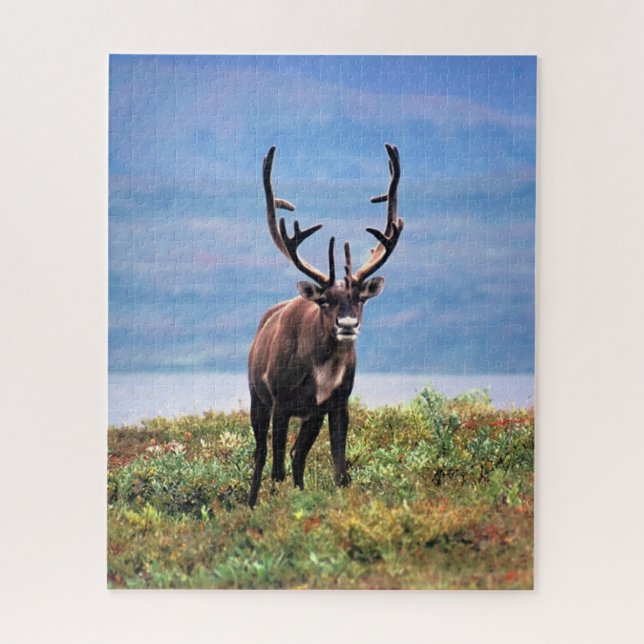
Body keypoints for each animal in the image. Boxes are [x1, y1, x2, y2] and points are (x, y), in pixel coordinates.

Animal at [247, 144, 404, 507]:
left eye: (360, 299)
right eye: (325, 301)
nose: (347, 323)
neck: (322, 368)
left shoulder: (337, 402)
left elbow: (340, 471)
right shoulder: (281, 402)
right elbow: (275, 469)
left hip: (311, 415)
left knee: (297, 455)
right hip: (257, 398)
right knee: (262, 457)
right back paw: (251, 502)